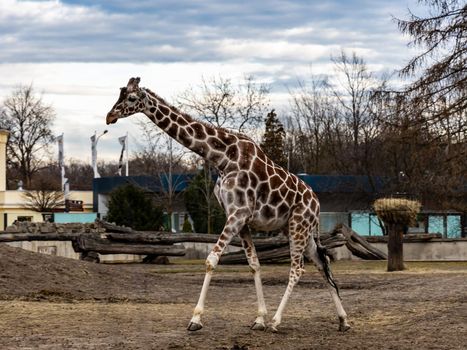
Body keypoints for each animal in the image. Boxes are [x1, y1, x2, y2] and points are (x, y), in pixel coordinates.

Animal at [106, 78, 352, 332]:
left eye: (131, 98)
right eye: (120, 93)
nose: (109, 116)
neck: (223, 158)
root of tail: (317, 203)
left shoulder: (238, 214)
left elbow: (211, 260)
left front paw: (196, 319)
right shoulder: (238, 217)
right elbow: (253, 263)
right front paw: (259, 318)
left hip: (298, 226)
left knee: (297, 268)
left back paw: (277, 321)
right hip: (298, 229)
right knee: (322, 263)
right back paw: (343, 320)